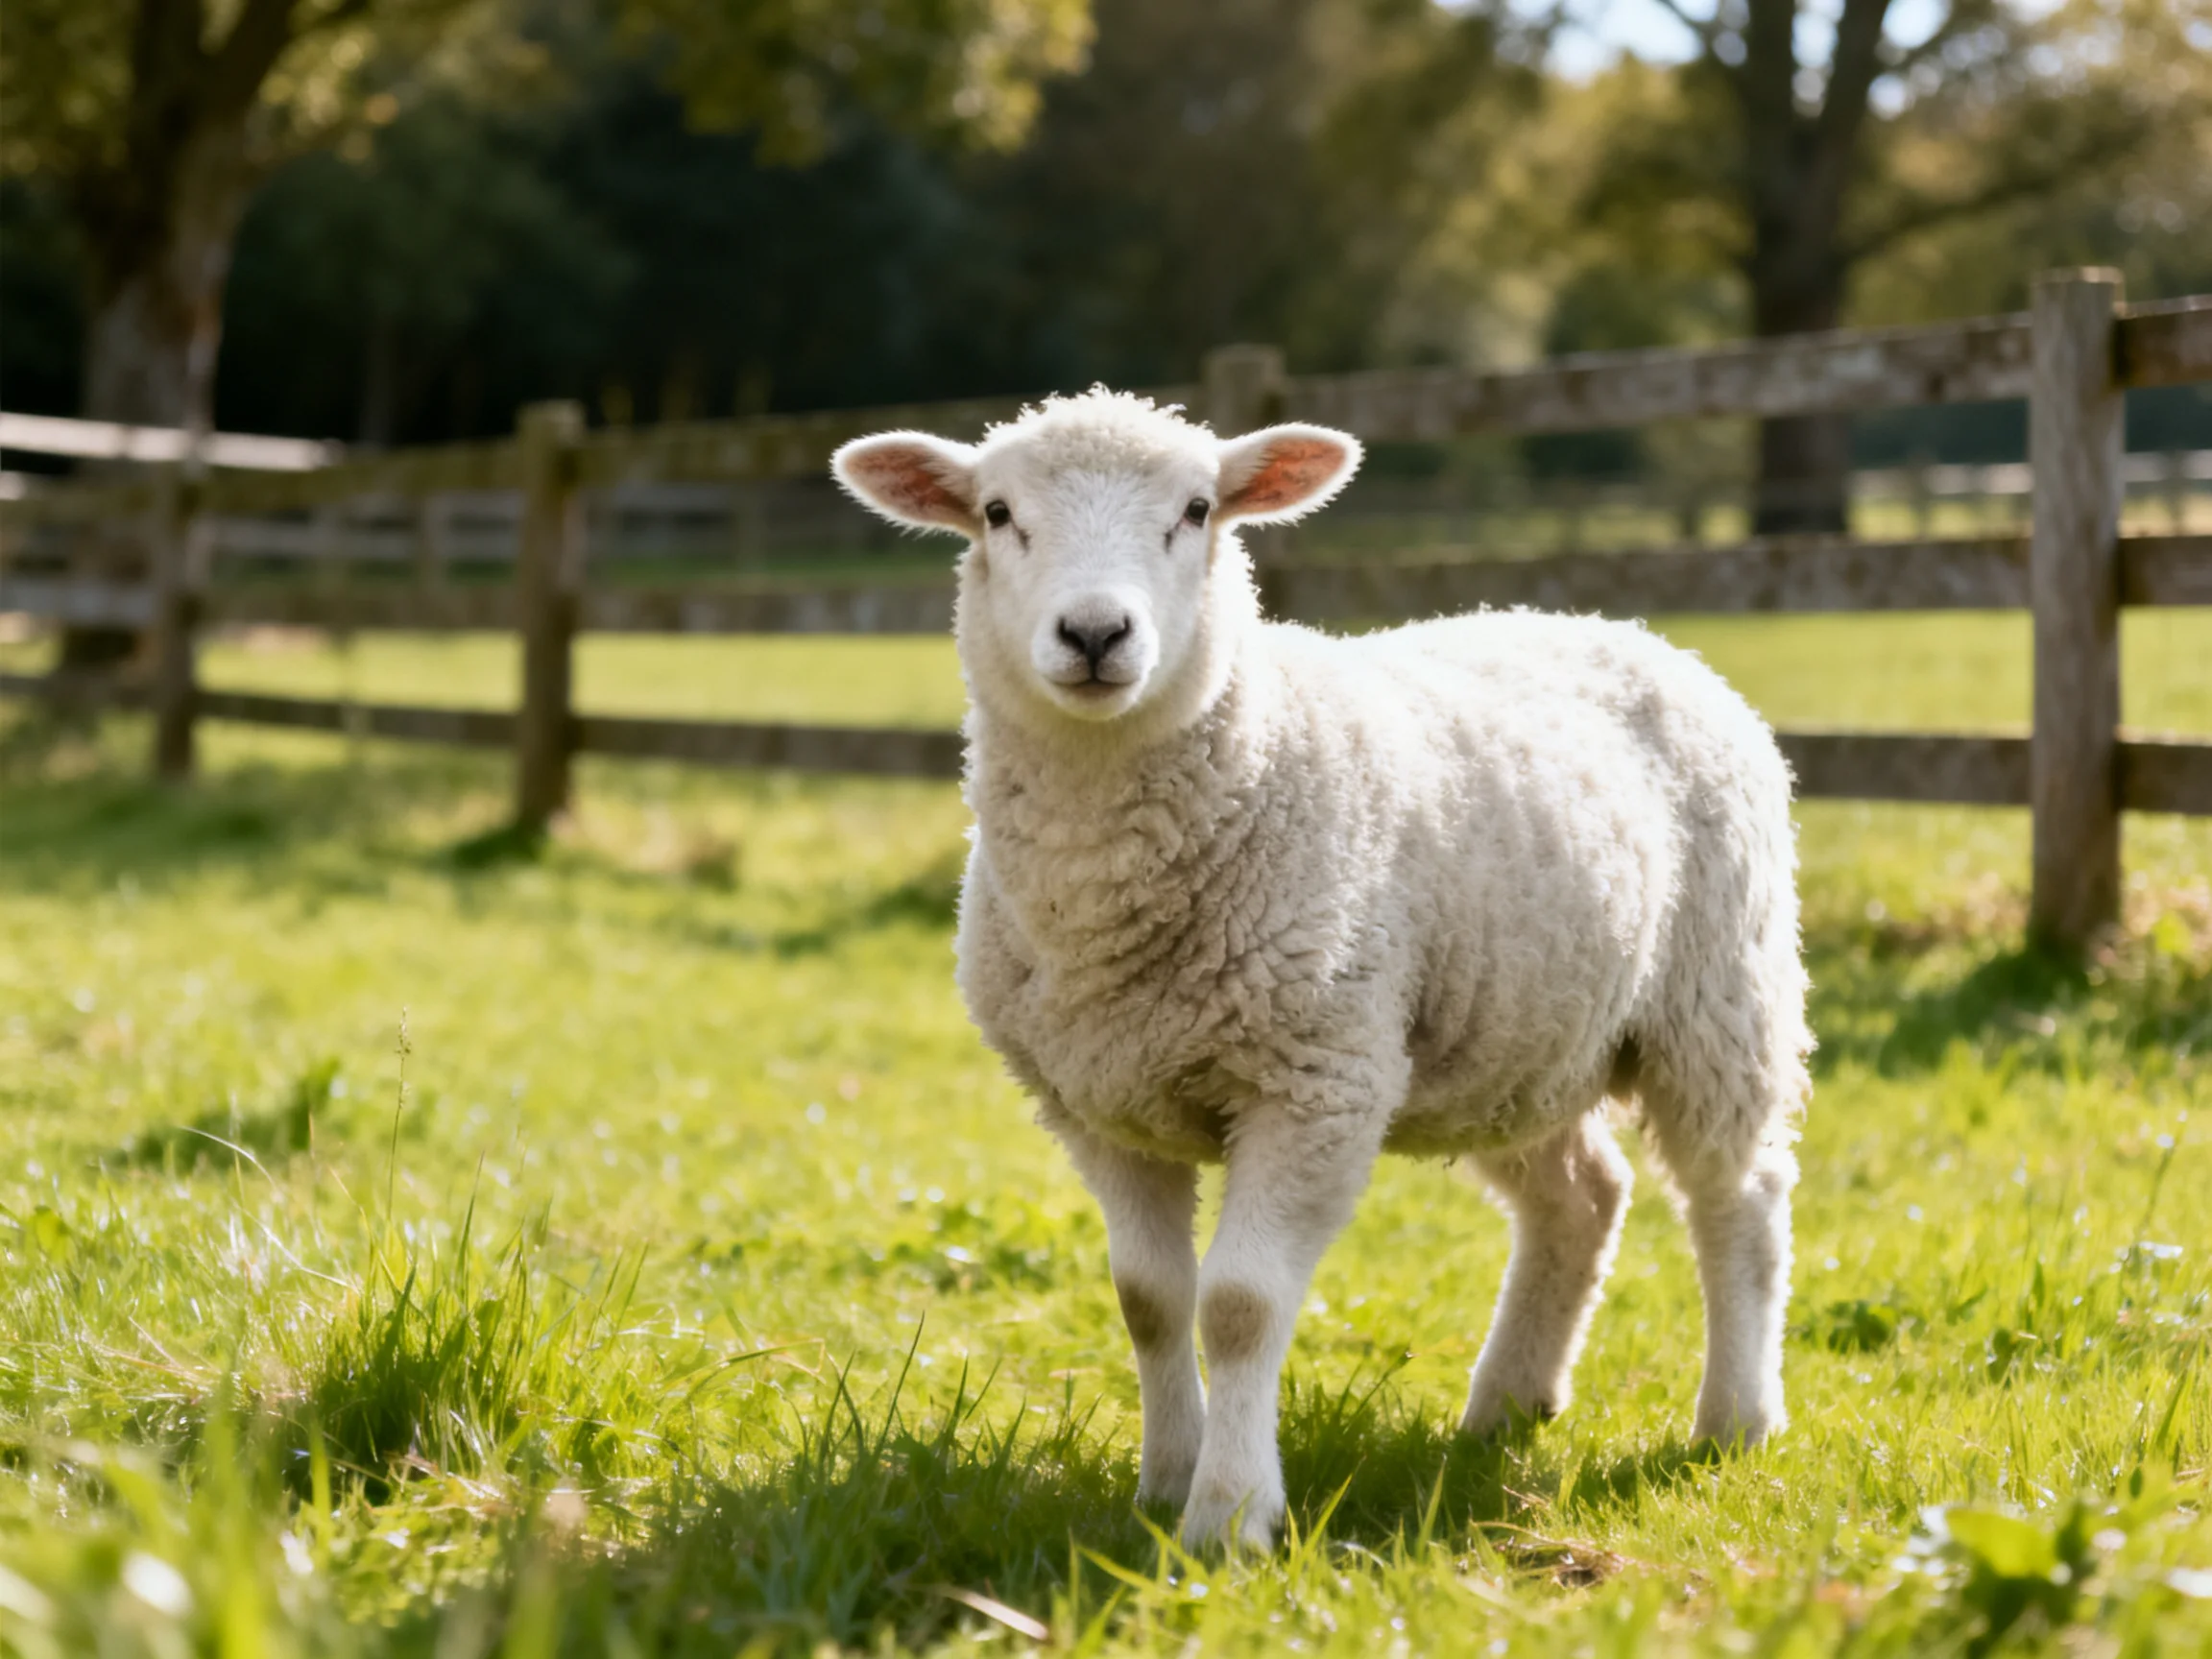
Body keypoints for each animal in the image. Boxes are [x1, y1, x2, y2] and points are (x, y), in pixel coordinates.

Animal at [831, 389, 1811, 1550]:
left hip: (1719, 995)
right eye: (996, 513)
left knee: (1739, 1199)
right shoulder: (1099, 1105)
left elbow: (1238, 1306)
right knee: (1582, 1196)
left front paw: (1229, 1519)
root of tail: (1627, 631)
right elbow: (1149, 1300)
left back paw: (1735, 1419)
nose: (1095, 634)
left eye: (1198, 510)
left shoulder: (1315, 1082)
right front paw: (1163, 1482)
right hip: (1509, 1036)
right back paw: (1507, 1403)